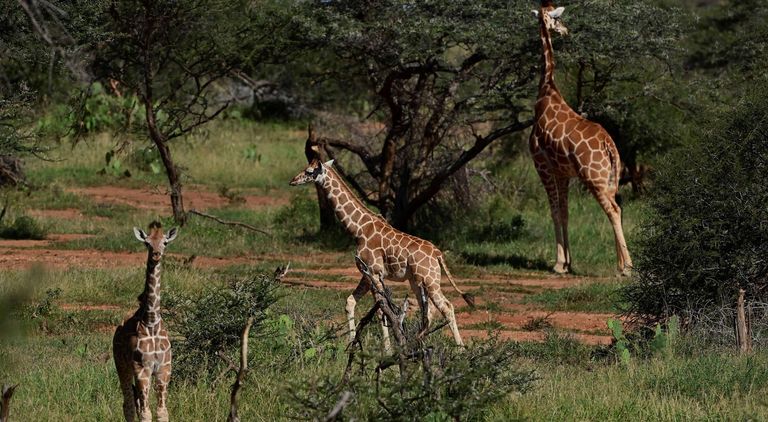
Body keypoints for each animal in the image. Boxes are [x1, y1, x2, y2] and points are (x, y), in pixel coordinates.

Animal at [113, 222, 178, 422]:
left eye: (165, 242)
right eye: (147, 243)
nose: (156, 254)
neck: (151, 320)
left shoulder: (164, 369)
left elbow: (162, 412)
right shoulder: (141, 369)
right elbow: (145, 413)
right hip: (122, 366)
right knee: (128, 404)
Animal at [289, 155, 474, 348]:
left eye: (309, 171)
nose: (292, 180)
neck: (358, 229)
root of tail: (438, 254)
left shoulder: (374, 272)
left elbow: (381, 311)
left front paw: (387, 349)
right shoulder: (366, 274)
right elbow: (350, 302)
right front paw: (351, 344)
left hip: (430, 280)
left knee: (446, 307)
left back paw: (459, 349)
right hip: (416, 281)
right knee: (429, 312)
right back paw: (416, 343)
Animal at [529, 1, 632, 276]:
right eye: (557, 20)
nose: (566, 31)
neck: (546, 90)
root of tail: (609, 145)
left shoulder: (543, 165)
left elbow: (554, 211)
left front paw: (558, 264)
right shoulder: (563, 172)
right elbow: (565, 212)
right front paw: (568, 262)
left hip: (593, 177)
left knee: (613, 209)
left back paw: (628, 267)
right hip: (609, 177)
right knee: (617, 207)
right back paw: (620, 264)